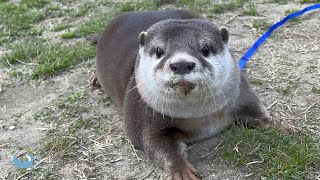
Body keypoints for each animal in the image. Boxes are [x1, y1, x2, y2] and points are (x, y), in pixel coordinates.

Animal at [90, 9, 296, 180]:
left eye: (205, 49)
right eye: (159, 50)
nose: (181, 64)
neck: (202, 117)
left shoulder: (240, 92)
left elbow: (260, 114)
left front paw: (285, 128)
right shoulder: (142, 112)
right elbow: (156, 145)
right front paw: (181, 172)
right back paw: (95, 78)